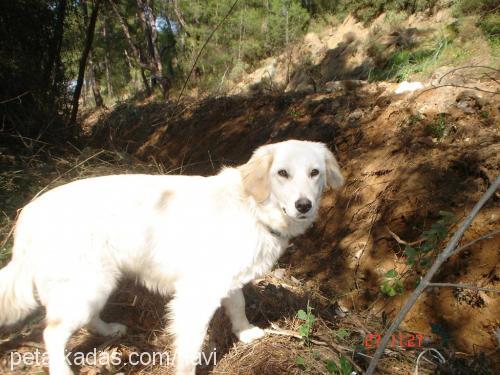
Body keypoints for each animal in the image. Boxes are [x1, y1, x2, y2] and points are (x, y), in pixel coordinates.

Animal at [0, 140, 344, 374]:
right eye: (282, 173)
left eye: (315, 173)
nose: (304, 205)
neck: (252, 207)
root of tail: (27, 214)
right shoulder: (196, 295)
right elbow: (190, 347)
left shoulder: (227, 280)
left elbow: (238, 306)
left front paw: (245, 333)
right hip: (88, 284)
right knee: (52, 333)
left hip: (96, 284)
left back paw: (109, 330)